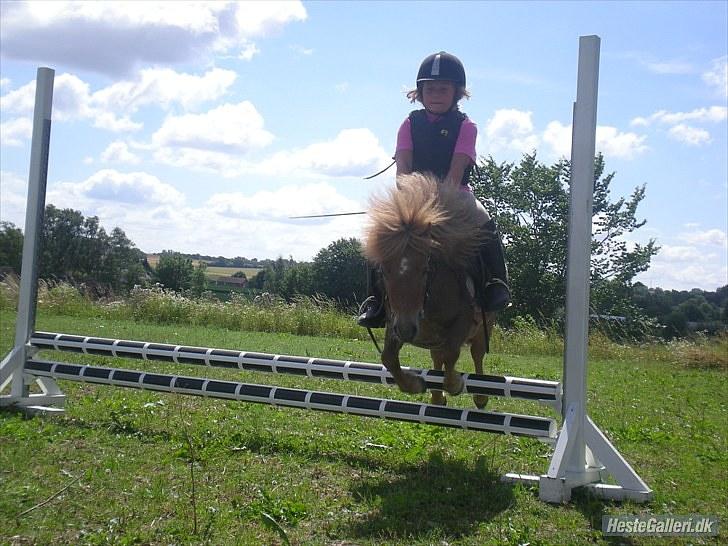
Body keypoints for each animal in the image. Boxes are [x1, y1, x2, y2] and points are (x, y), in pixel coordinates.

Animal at [362, 172, 494, 406]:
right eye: (383, 271)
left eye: (425, 269)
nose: (407, 330)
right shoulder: (394, 320)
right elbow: (388, 357)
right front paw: (415, 384)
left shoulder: (464, 321)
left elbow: (452, 354)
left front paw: (456, 384)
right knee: (437, 357)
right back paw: (437, 398)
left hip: (483, 327)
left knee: (476, 355)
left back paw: (480, 397)